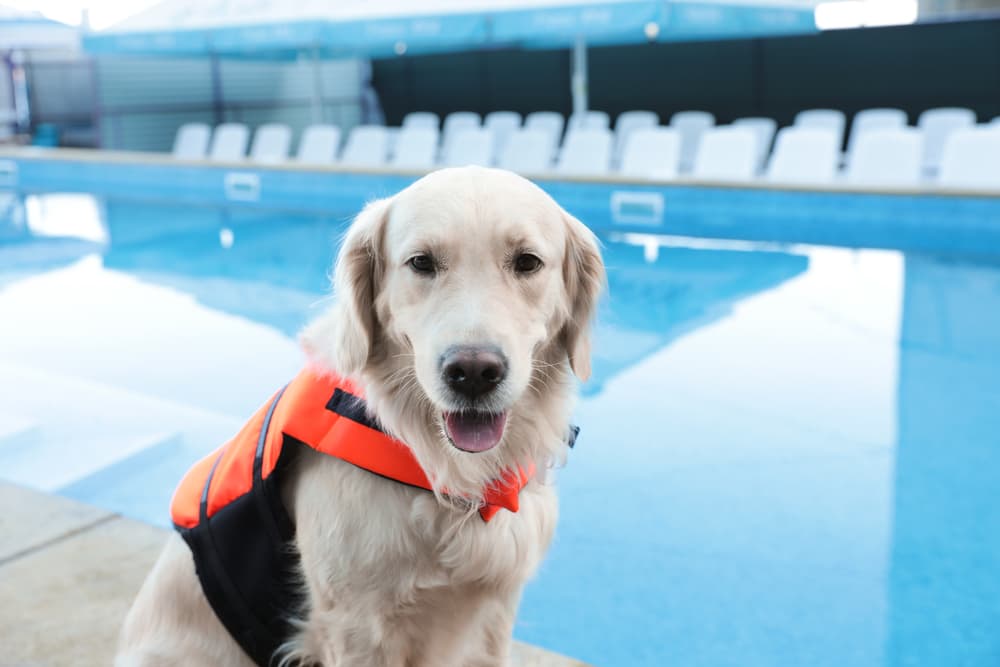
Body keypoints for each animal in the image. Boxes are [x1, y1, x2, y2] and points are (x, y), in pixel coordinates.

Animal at [114, 167, 604, 667]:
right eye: (421, 263)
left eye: (527, 262)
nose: (472, 373)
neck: (446, 471)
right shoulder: (357, 626)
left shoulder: (493, 615)